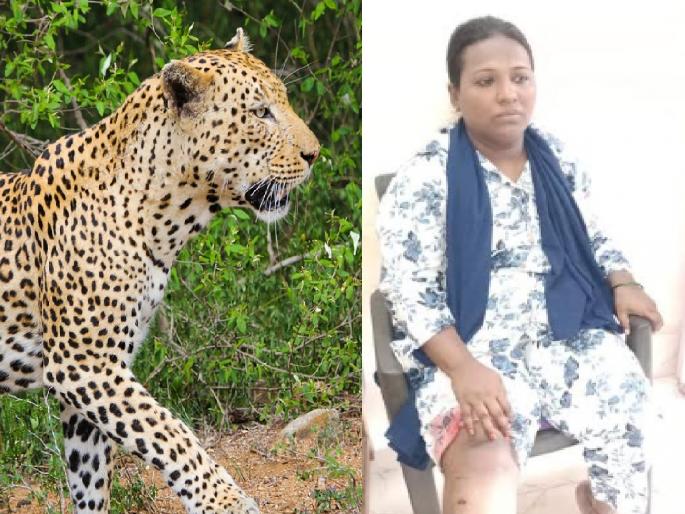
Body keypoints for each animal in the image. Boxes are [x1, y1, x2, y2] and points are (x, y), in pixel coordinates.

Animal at [0, 28, 319, 514]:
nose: (315, 154)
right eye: (260, 112)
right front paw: (224, 500)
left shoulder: (94, 381)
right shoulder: (84, 363)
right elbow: (172, 434)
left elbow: (91, 480)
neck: (164, 219)